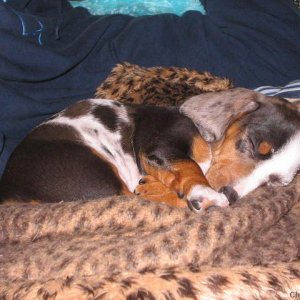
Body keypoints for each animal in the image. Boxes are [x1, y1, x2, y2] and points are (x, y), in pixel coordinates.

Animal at [0, 88, 300, 212]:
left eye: (274, 183)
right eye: (251, 144)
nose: (230, 195)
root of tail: (9, 188)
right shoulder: (161, 146)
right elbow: (189, 166)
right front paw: (203, 192)